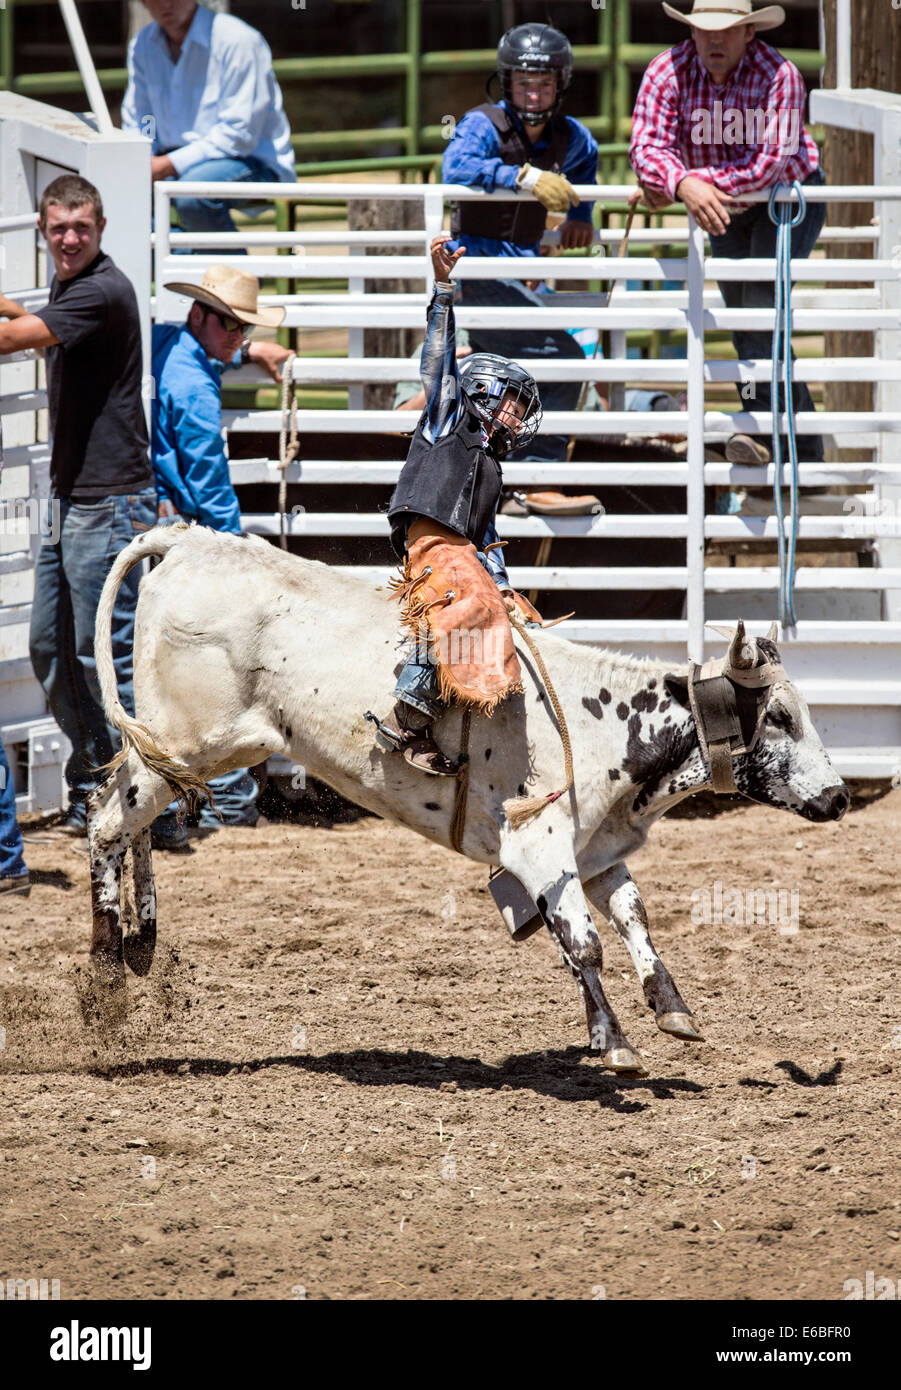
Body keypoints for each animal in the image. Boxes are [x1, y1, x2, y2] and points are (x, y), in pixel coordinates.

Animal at [87, 522, 850, 1073]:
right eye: (782, 717)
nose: (839, 796)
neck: (605, 721)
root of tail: (188, 541)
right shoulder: (538, 847)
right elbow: (583, 943)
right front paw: (614, 1043)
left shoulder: (597, 850)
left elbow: (634, 920)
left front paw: (672, 1009)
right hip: (188, 740)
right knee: (106, 821)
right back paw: (105, 981)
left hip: (186, 747)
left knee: (133, 817)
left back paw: (141, 942)